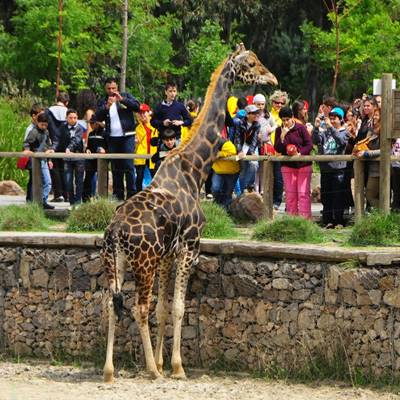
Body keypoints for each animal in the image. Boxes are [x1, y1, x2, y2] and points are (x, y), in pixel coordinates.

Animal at [101, 43, 276, 382]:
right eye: (251, 63)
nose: (272, 78)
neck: (194, 169)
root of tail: (115, 232)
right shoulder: (190, 248)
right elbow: (179, 307)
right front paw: (176, 367)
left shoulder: (168, 254)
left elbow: (164, 308)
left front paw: (164, 362)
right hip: (143, 262)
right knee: (137, 307)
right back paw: (151, 371)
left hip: (114, 261)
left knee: (110, 304)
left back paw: (109, 371)